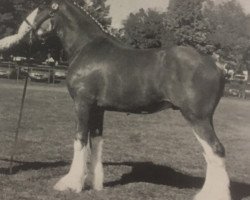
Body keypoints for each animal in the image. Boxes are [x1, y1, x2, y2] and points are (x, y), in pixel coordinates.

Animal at [7, 0, 230, 199]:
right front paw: (95, 184)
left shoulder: (82, 104)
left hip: (197, 117)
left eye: (40, 8)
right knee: (211, 152)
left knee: (215, 150)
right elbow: (96, 142)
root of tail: (216, 65)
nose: (21, 32)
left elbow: (80, 139)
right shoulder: (98, 109)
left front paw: (71, 184)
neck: (86, 47)